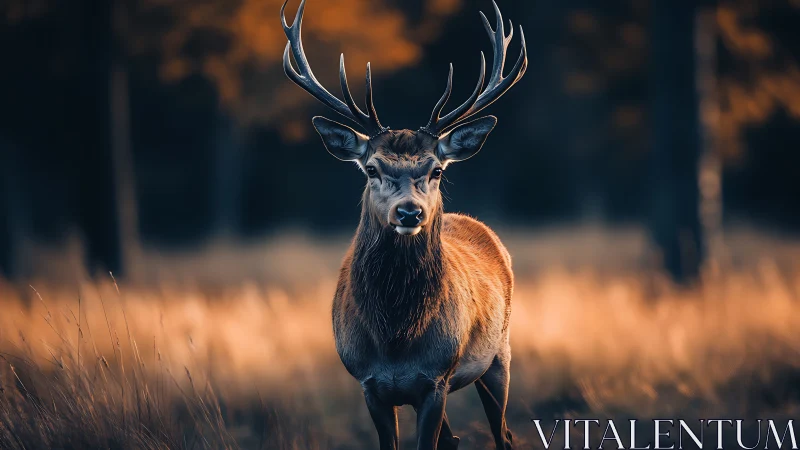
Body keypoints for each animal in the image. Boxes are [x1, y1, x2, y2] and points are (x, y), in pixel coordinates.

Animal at [281, 1, 527, 448]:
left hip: (499, 352)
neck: (396, 341)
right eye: (372, 168)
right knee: (456, 439)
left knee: (504, 433)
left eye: (436, 170)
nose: (409, 213)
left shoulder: (436, 378)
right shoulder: (371, 383)